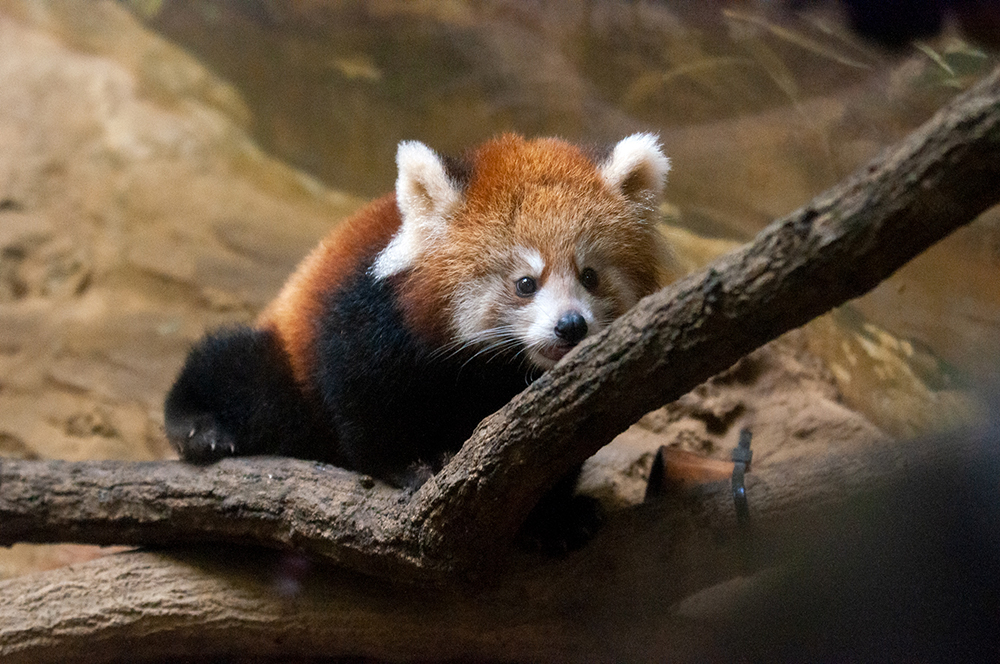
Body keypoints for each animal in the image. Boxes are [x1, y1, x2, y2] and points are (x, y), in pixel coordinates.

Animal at [166, 132, 672, 496]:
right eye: (525, 283)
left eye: (590, 276)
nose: (570, 325)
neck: (492, 371)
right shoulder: (366, 320)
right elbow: (364, 404)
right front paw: (407, 465)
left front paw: (557, 515)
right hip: (285, 358)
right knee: (242, 371)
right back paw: (199, 425)